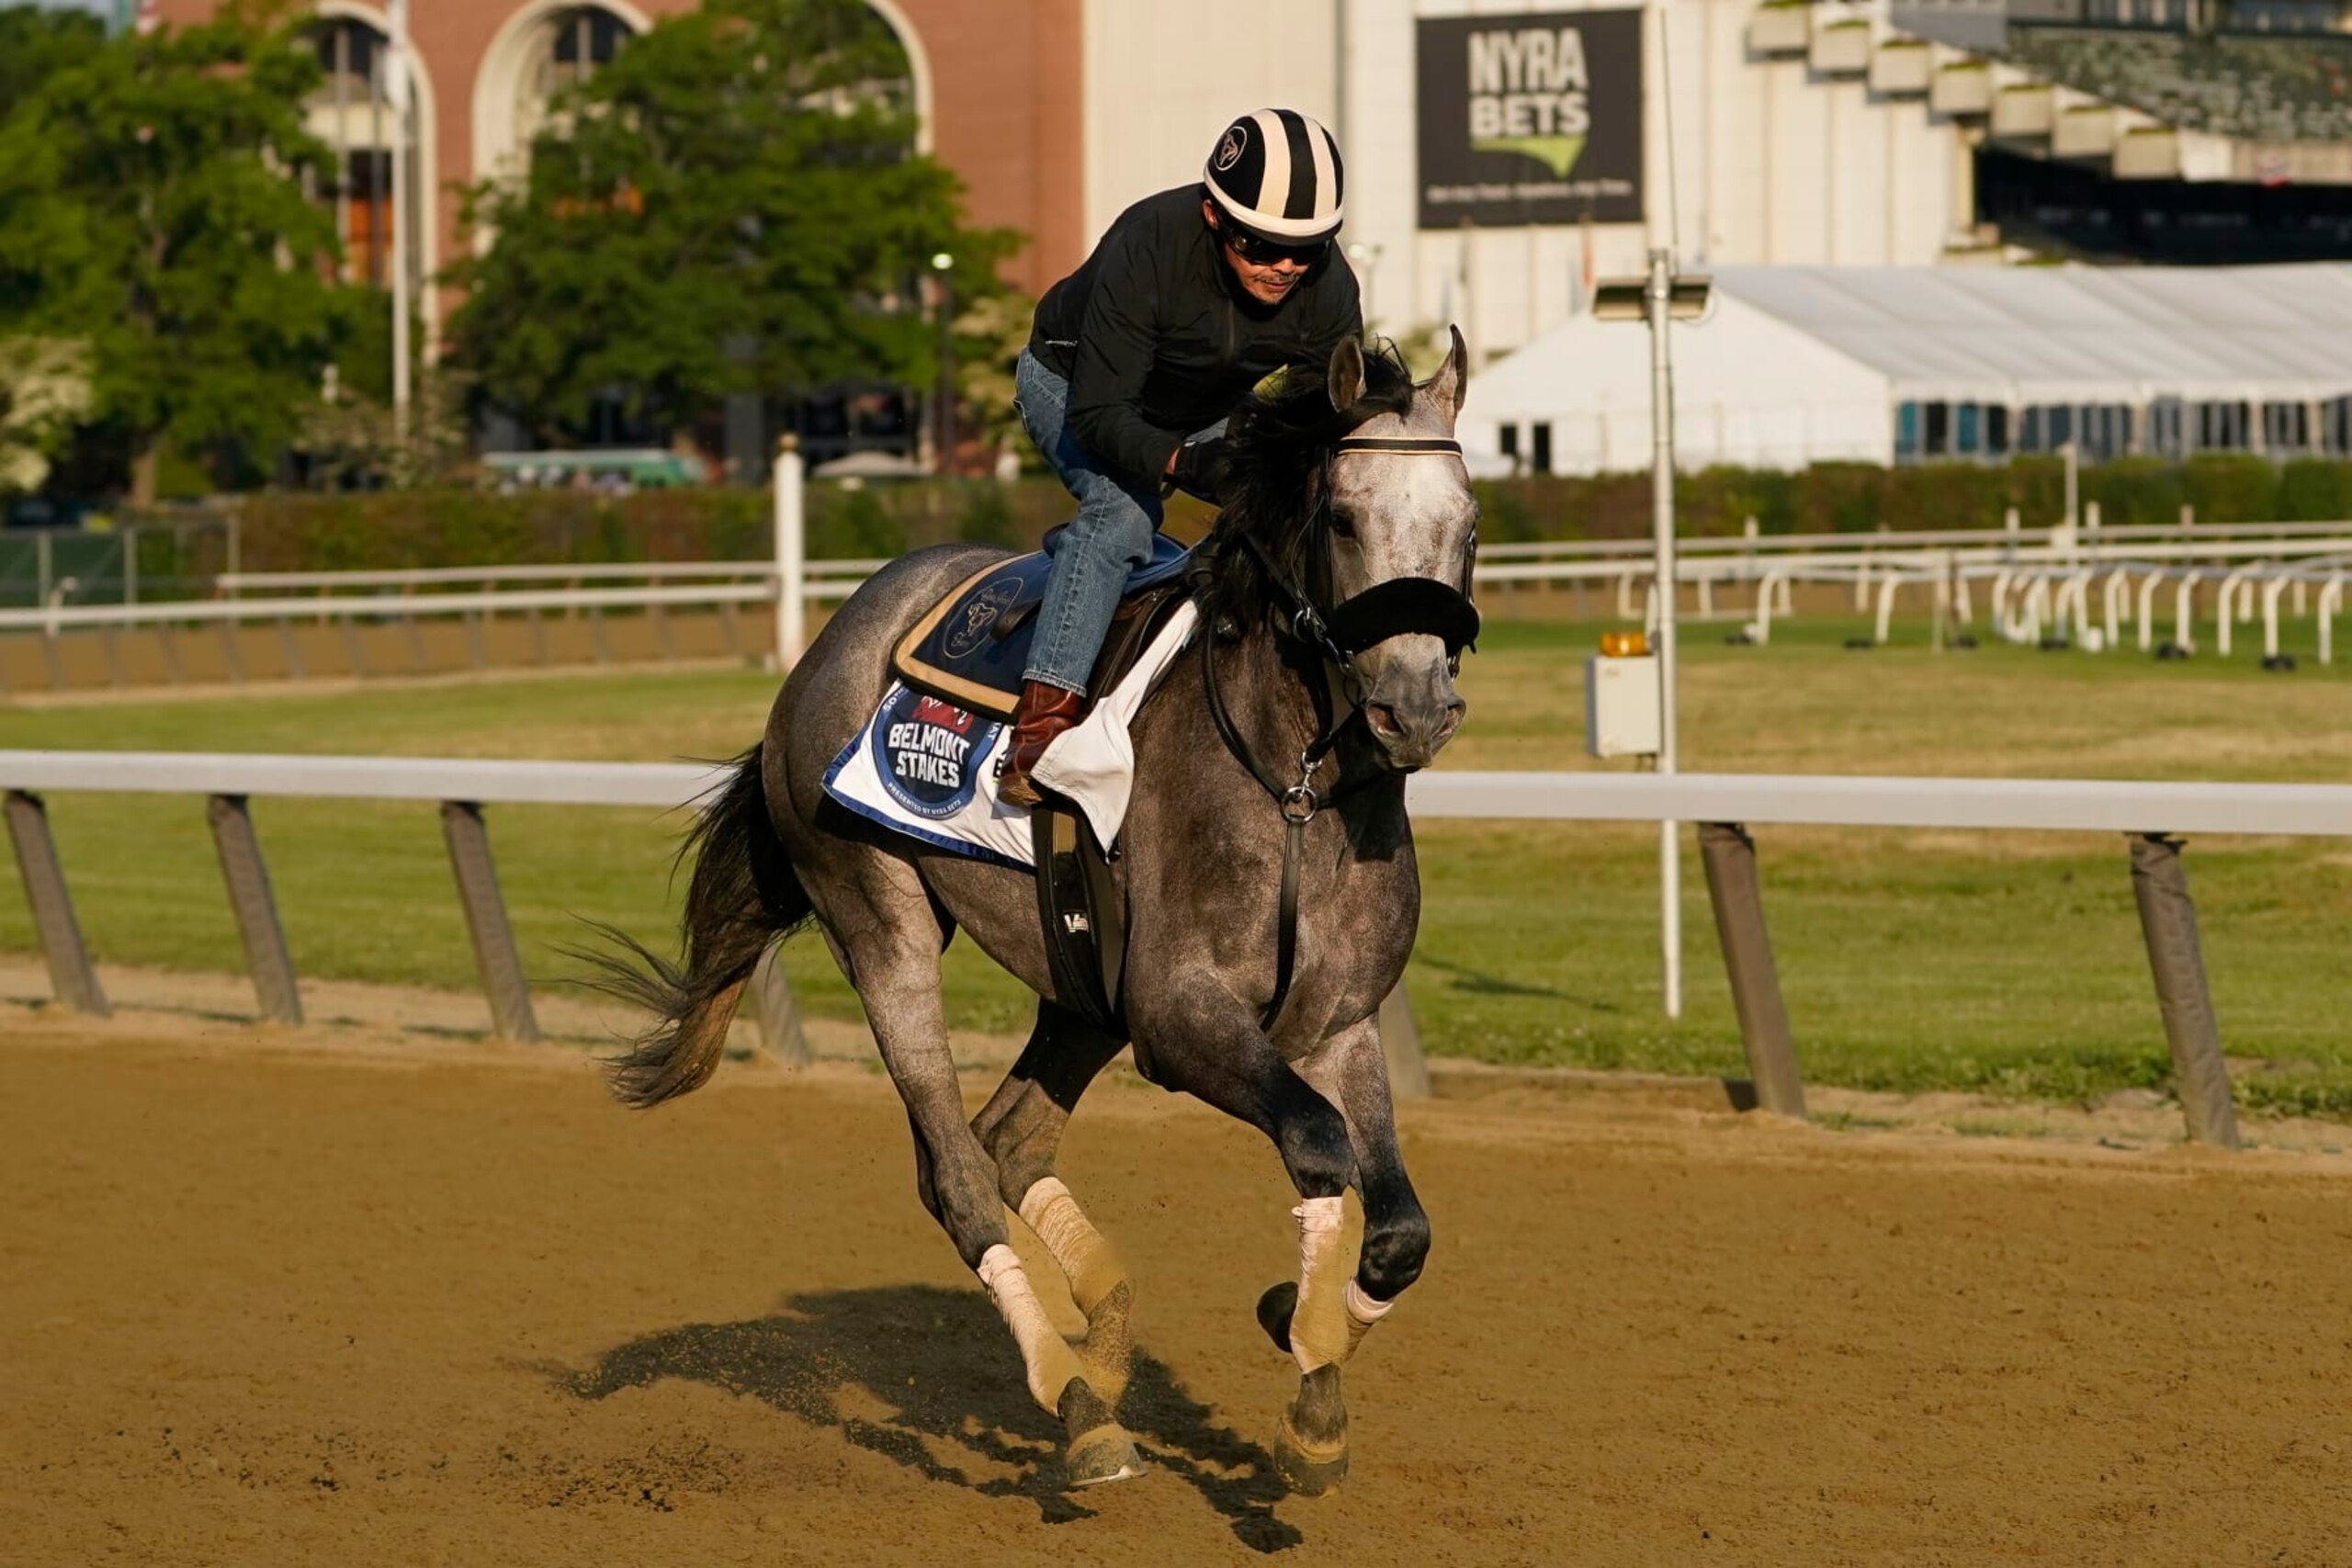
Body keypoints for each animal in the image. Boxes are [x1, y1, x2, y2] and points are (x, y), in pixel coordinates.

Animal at [591, 328, 1479, 1494]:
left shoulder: (1336, 1023)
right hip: (880, 919)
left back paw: (1096, 1333)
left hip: (1078, 983)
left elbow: (1401, 1228)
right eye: (1342, 517)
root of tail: (835, 634)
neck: (1292, 784)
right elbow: (1319, 1146)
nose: (1413, 708)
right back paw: (1077, 1403)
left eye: (1467, 521)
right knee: (959, 1173)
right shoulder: (1178, 1018)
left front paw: (1304, 1341)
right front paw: (1306, 1367)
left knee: (1008, 1138)